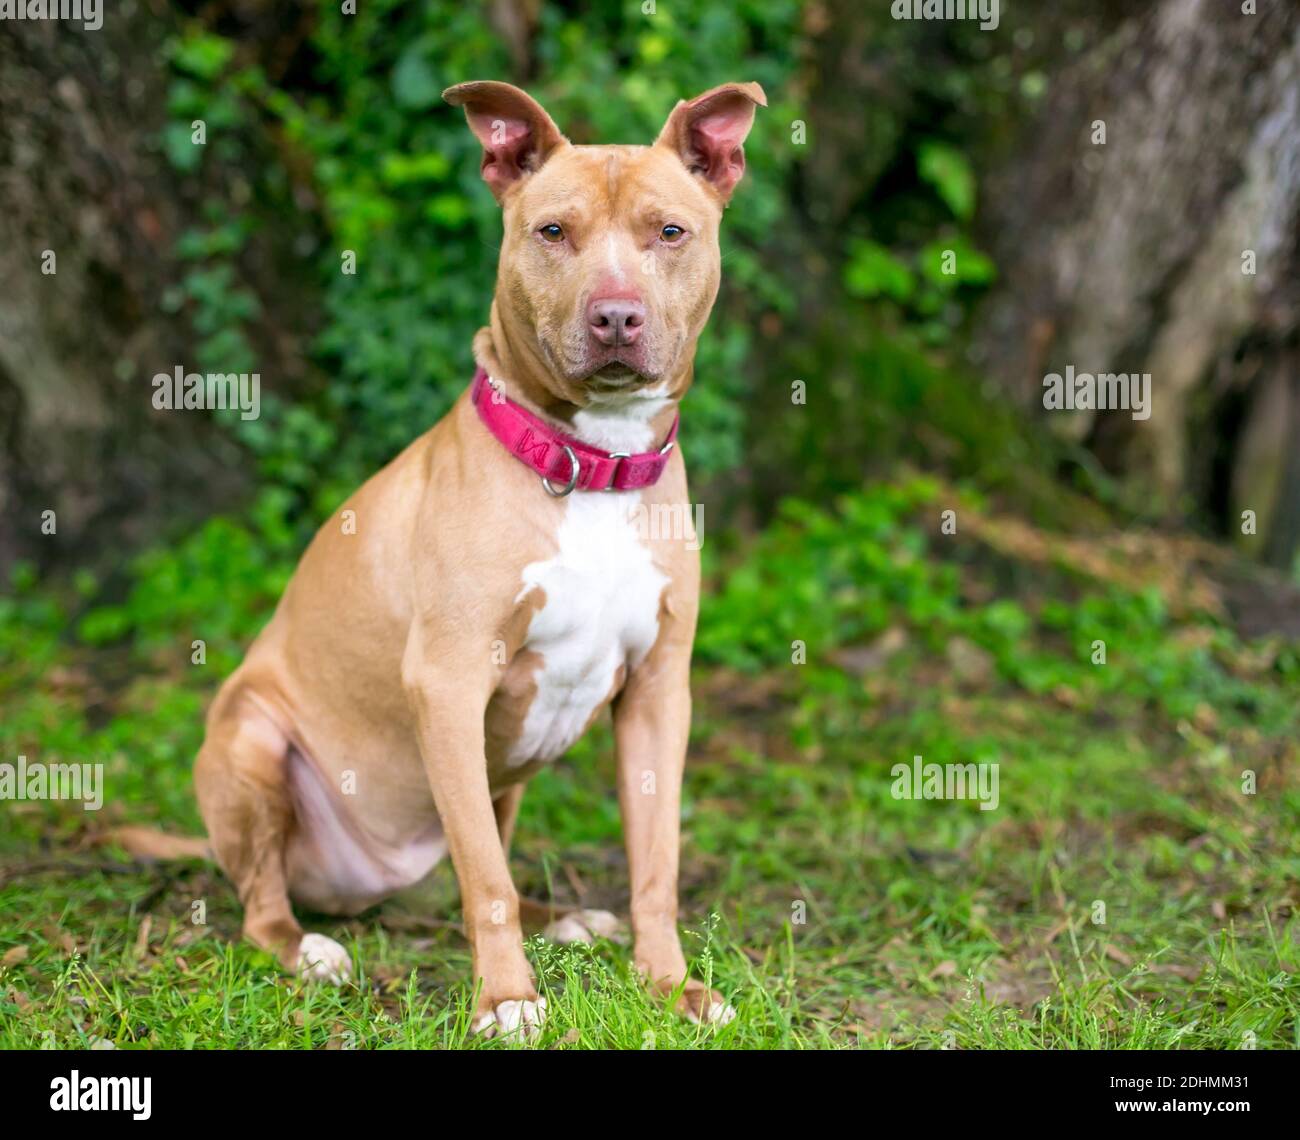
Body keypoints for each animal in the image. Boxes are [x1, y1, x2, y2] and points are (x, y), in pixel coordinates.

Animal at [188, 79, 764, 1034]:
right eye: (554, 231)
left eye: (671, 232)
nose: (615, 315)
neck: (591, 464)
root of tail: (369, 883)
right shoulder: (450, 682)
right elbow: (485, 877)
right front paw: (507, 999)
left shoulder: (658, 691)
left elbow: (655, 864)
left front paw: (669, 987)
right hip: (251, 739)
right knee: (268, 907)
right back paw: (309, 950)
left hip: (506, 767)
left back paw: (564, 918)